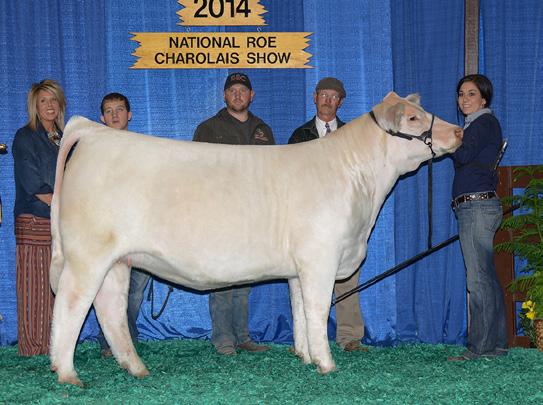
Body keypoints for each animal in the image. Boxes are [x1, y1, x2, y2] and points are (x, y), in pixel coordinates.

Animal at [48, 92, 461, 386]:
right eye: (413, 118)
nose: (458, 131)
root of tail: (95, 132)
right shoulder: (321, 257)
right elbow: (316, 310)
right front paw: (327, 364)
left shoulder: (298, 268)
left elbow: (299, 310)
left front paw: (304, 356)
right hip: (88, 254)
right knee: (71, 303)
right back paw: (66, 372)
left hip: (118, 260)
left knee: (110, 309)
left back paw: (135, 367)